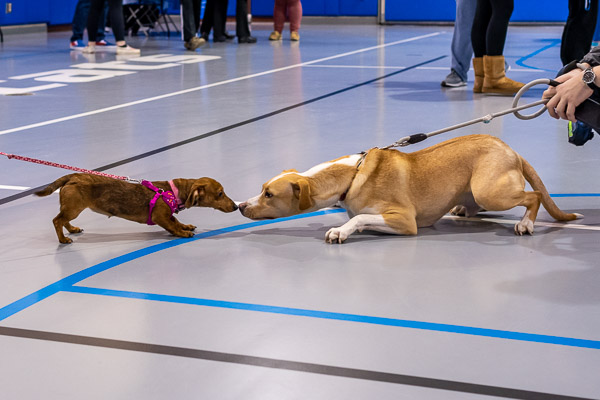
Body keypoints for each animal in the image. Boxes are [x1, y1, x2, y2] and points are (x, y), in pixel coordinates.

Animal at [35, 173, 239, 244]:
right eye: (220, 193)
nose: (236, 206)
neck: (173, 192)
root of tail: (72, 177)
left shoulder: (168, 215)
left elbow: (176, 220)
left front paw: (185, 226)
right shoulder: (160, 216)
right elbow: (172, 225)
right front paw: (183, 232)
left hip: (72, 208)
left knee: (64, 220)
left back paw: (72, 229)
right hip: (74, 207)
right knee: (57, 220)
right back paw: (63, 239)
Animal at [239, 134, 580, 242]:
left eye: (269, 195)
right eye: (262, 187)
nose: (241, 206)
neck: (350, 175)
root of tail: (510, 150)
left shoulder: (405, 220)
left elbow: (359, 217)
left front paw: (342, 231)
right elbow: (358, 216)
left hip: (490, 190)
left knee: (534, 195)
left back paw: (526, 223)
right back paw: (463, 208)